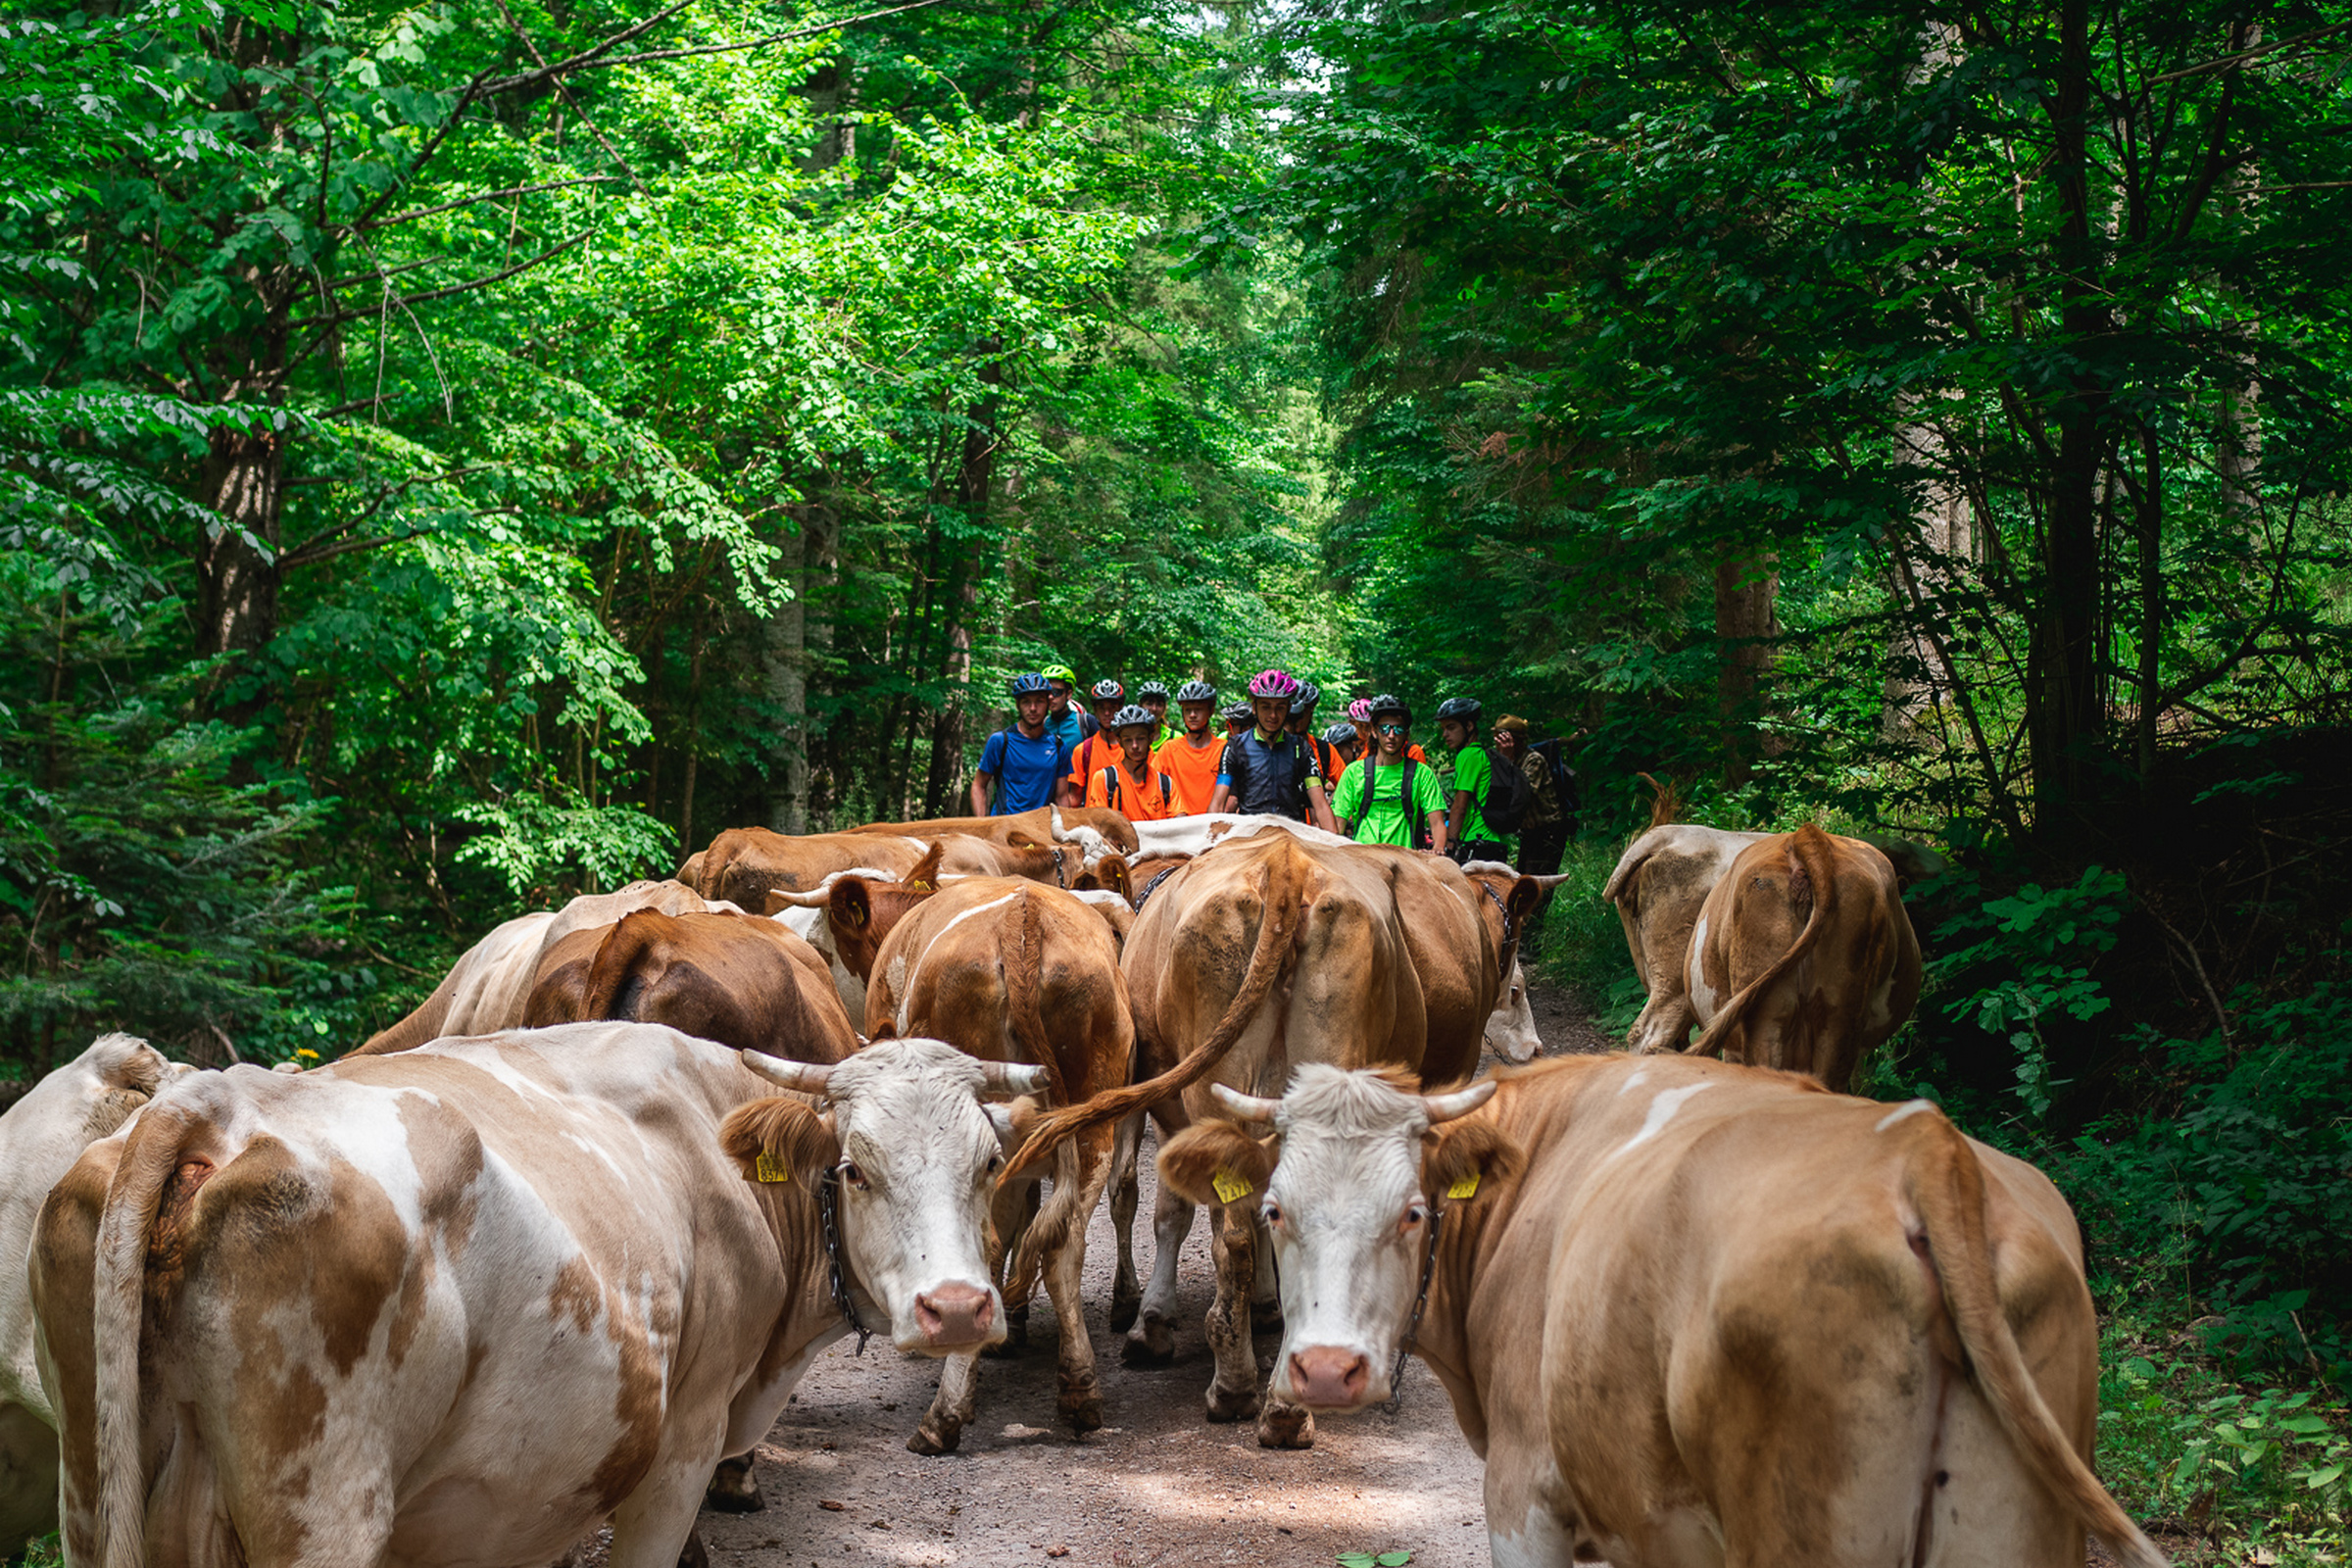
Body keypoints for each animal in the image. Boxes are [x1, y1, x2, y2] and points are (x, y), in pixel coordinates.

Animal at [31, 1029, 1044, 1568]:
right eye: (856, 1168)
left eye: (990, 1161)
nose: (958, 1308)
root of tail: (214, 1100)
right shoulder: (683, 1442)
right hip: (324, 1513)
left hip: (89, 1491)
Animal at [851, 879, 1133, 1457]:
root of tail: (1022, 917)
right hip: (1092, 1125)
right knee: (1064, 1246)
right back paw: (1079, 1392)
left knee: (988, 1246)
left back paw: (944, 1416)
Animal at [1176, 1053, 2164, 1568]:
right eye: (1275, 1209)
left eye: (1413, 1212)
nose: (1325, 1371)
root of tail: (1924, 1146)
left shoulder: (1526, 1497)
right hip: (2013, 1529)